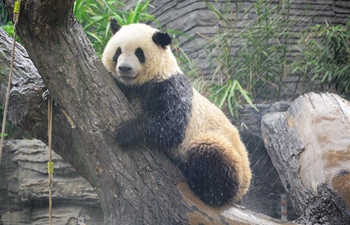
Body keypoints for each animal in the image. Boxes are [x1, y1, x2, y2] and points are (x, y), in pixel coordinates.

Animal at [102, 18, 252, 206]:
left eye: (139, 53)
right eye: (118, 51)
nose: (124, 68)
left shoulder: (170, 88)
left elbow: (171, 127)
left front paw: (125, 132)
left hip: (224, 152)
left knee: (212, 154)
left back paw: (207, 190)